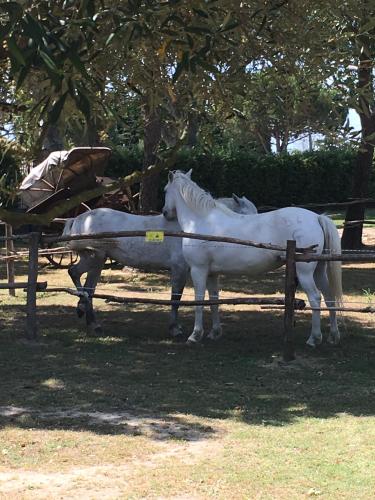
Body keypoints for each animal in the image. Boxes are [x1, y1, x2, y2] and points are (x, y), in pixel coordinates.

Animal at [64, 176, 258, 336]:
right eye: (247, 216)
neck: (189, 225)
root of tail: (79, 218)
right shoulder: (180, 268)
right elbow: (176, 297)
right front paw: (174, 328)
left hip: (95, 260)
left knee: (82, 280)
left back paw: (87, 314)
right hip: (95, 259)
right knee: (81, 279)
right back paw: (88, 316)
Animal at [162, 171, 344, 348]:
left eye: (165, 190)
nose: (165, 213)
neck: (201, 220)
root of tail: (316, 218)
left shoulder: (198, 270)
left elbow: (198, 301)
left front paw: (195, 335)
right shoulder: (212, 273)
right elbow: (214, 300)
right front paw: (214, 332)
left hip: (305, 273)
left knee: (315, 298)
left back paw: (314, 338)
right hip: (319, 271)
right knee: (329, 298)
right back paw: (333, 336)